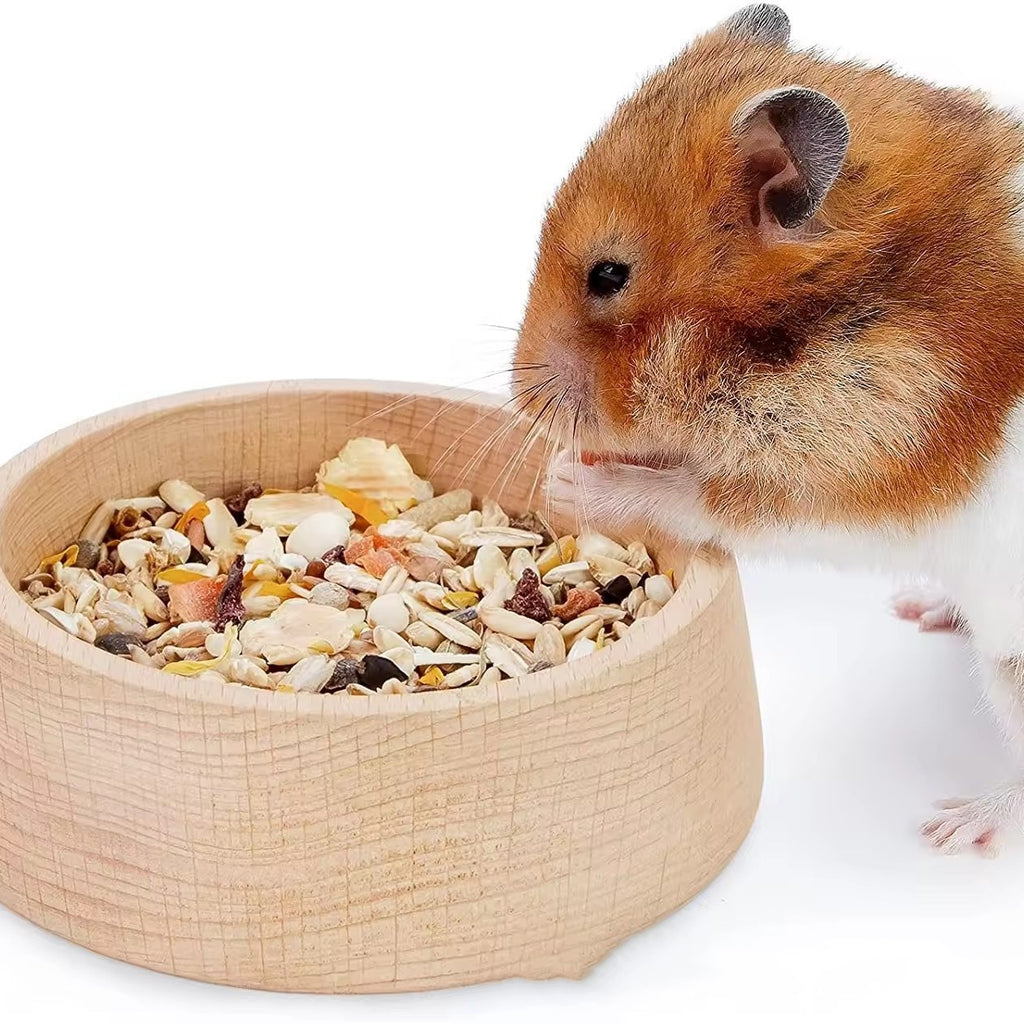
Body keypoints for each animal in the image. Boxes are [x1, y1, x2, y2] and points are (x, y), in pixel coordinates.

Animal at [512, 4, 1024, 855]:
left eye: (608, 275)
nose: (520, 399)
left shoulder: (850, 471)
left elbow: (698, 497)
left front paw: (569, 476)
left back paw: (954, 829)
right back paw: (921, 609)